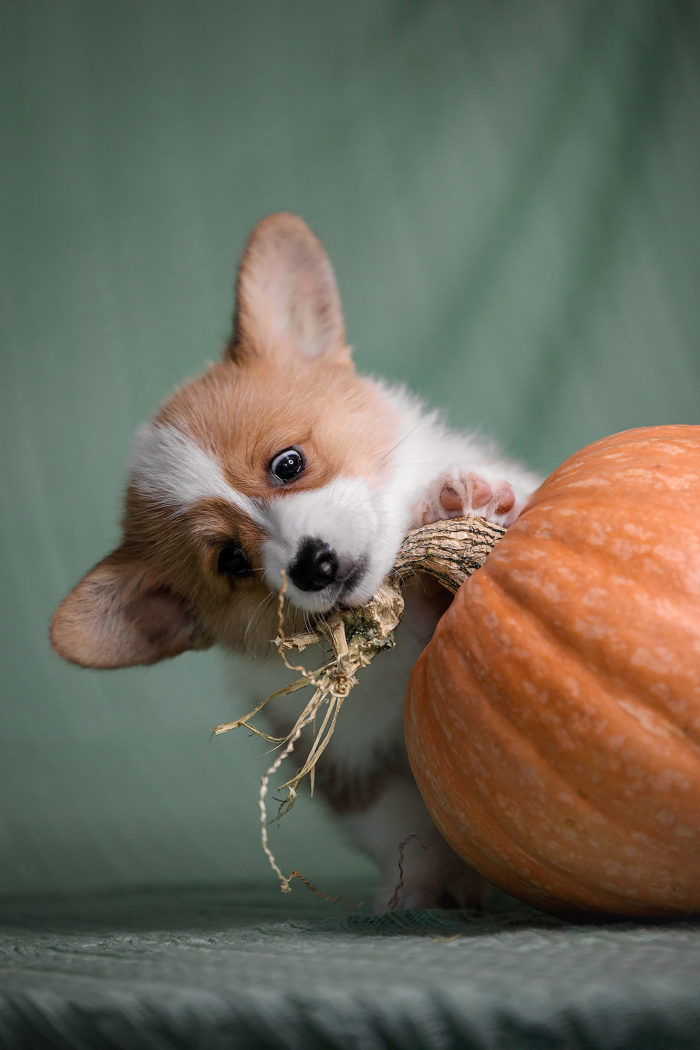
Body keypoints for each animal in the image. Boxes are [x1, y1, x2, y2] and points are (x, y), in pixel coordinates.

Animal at [50, 213, 541, 911]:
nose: (314, 566)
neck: (393, 632)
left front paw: (471, 501)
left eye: (288, 463)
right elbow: (405, 830)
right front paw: (424, 888)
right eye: (231, 560)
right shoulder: (351, 764)